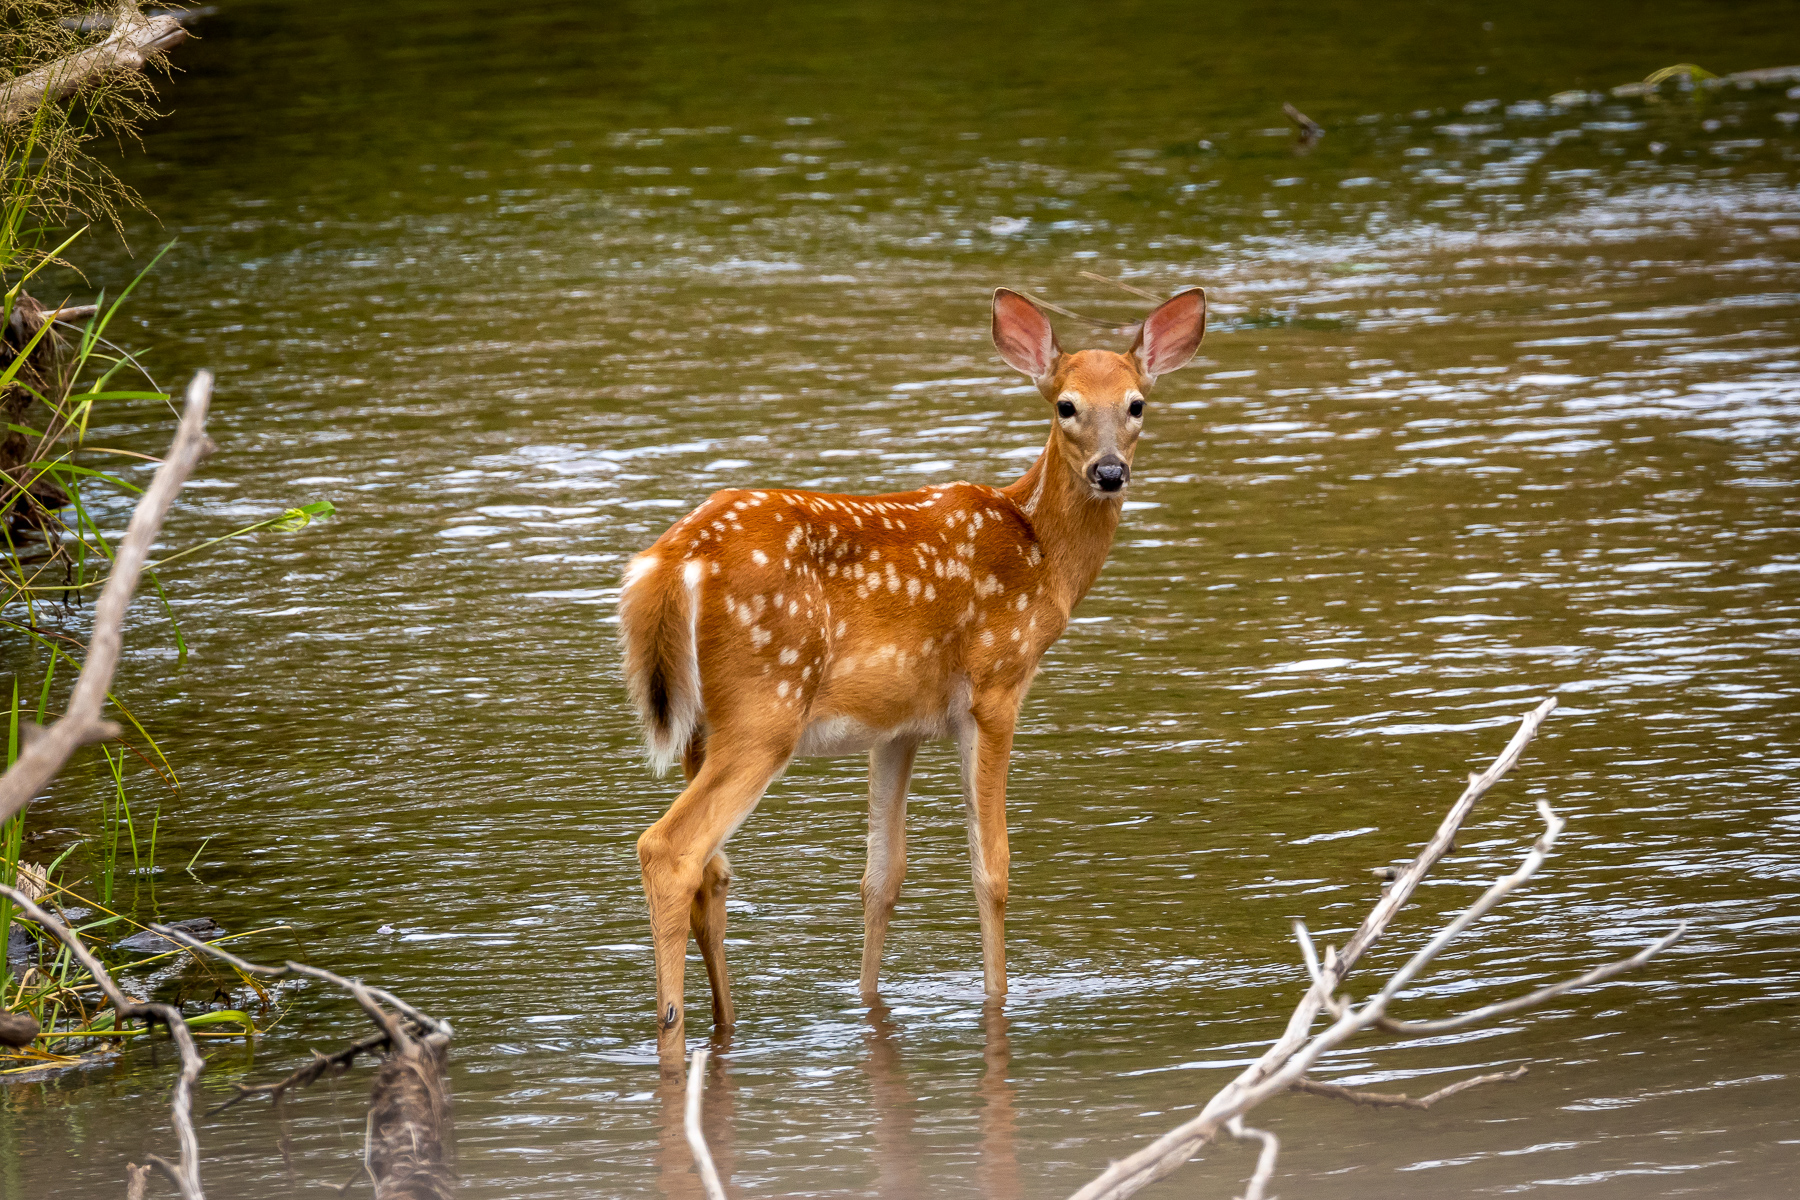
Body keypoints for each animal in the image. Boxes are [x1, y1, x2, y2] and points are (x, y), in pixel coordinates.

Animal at [619, 286, 1207, 1062]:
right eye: (1066, 405)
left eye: (1137, 403)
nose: (1109, 472)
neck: (1042, 557)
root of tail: (667, 563)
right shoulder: (994, 686)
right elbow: (992, 867)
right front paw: (997, 1000)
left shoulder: (896, 727)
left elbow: (882, 877)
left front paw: (869, 1003)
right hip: (764, 705)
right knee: (671, 849)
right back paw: (670, 1040)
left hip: (699, 727)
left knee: (713, 870)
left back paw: (727, 1025)